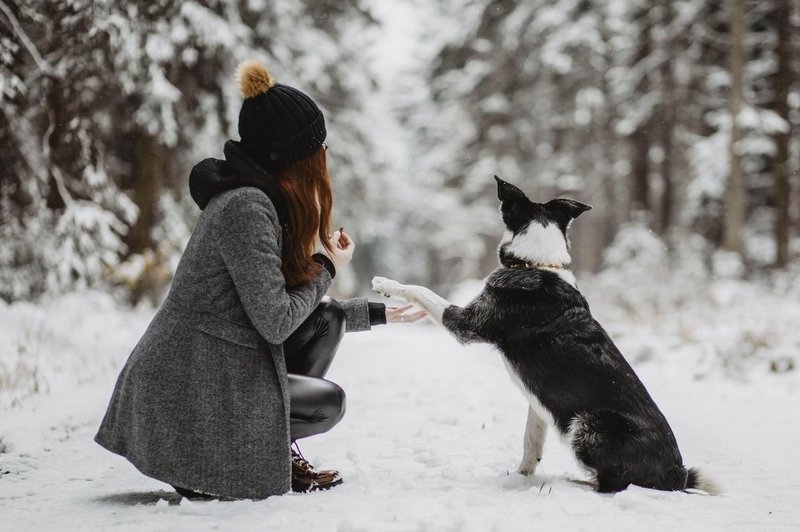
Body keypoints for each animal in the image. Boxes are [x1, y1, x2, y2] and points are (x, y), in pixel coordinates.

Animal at [376, 177, 720, 492]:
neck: (536, 263)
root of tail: (678, 473)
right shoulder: (539, 404)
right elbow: (531, 441)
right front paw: (520, 477)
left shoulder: (467, 323)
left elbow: (422, 290)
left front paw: (385, 284)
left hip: (587, 424)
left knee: (613, 483)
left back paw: (576, 481)